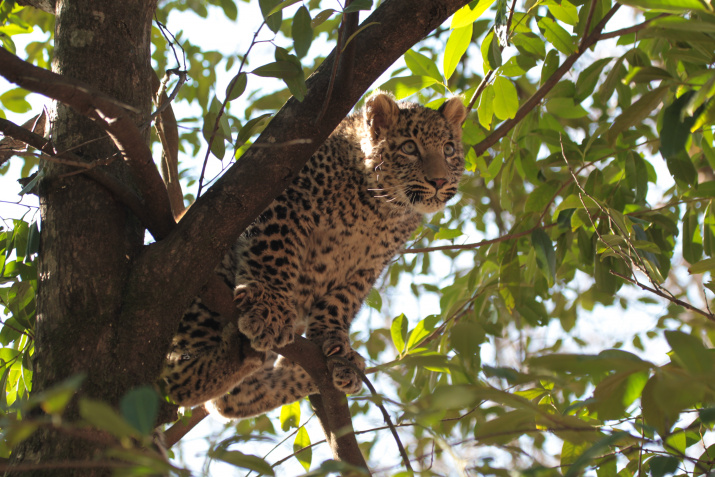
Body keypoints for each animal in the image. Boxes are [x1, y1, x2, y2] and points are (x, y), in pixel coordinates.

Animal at [159, 91, 468, 418]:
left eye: (448, 149)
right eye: (409, 147)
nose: (439, 182)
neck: (382, 207)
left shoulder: (370, 264)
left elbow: (342, 301)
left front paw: (335, 343)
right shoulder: (285, 200)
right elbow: (276, 253)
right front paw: (270, 311)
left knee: (233, 400)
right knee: (178, 380)